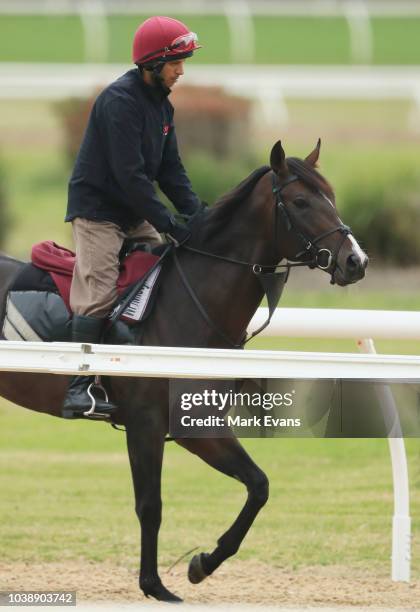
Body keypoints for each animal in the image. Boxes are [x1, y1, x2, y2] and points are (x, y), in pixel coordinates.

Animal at [0, 140, 368, 604]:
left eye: (331, 196)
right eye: (301, 201)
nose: (356, 261)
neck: (188, 304)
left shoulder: (198, 425)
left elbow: (258, 486)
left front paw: (202, 563)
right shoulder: (146, 424)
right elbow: (150, 505)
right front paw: (154, 585)